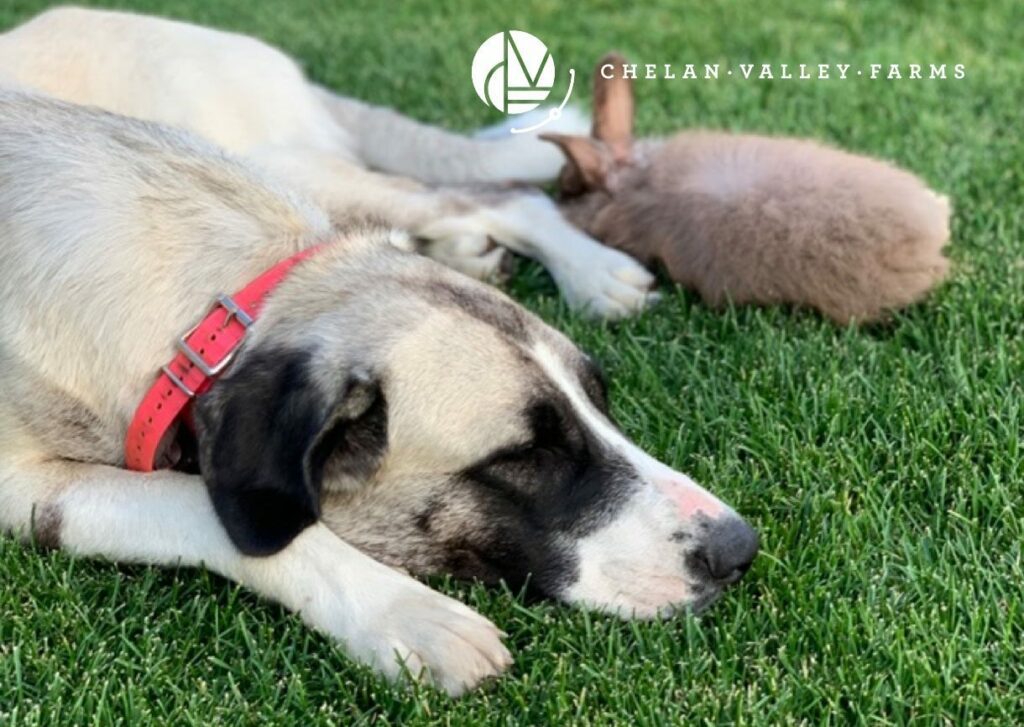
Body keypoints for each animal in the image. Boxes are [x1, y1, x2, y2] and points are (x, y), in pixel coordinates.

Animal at [0, 88, 761, 696]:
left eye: (599, 401)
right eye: (527, 456)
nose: (740, 549)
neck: (222, 307)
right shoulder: (23, 486)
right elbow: (201, 506)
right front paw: (405, 612)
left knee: (483, 195)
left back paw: (587, 268)